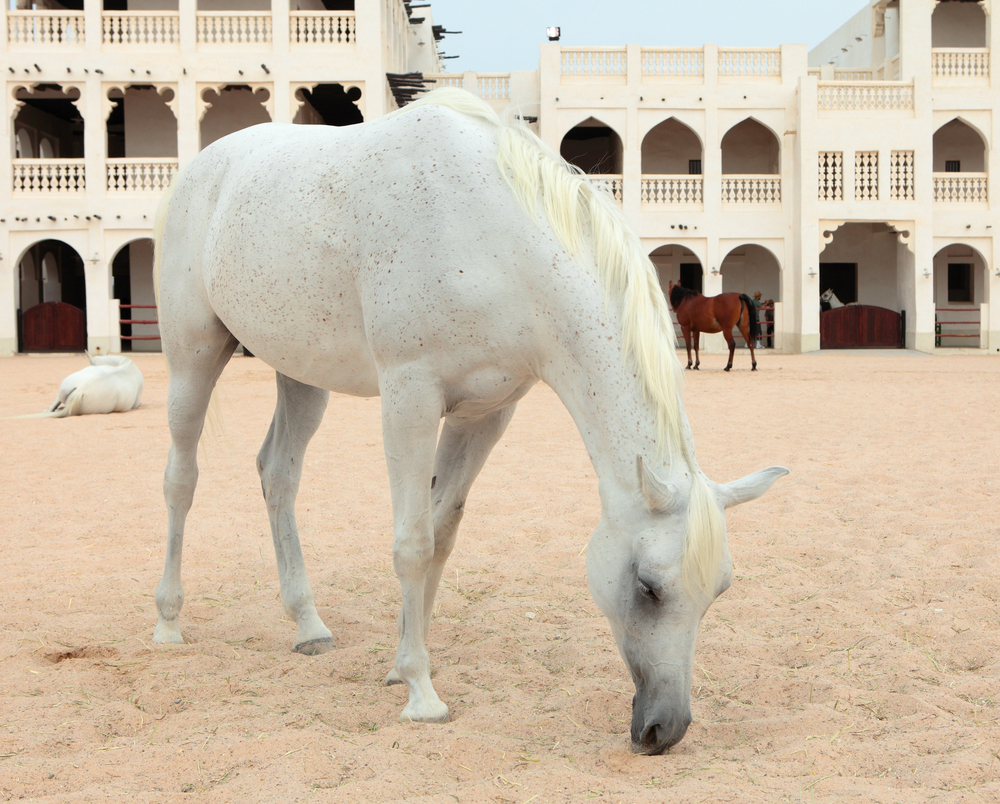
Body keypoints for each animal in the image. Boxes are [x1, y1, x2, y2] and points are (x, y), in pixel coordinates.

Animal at [150, 88, 788, 752]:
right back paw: (168, 621)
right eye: (647, 586)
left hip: (301, 374)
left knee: (278, 475)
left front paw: (401, 662)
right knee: (181, 479)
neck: (496, 241)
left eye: (719, 590)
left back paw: (308, 624)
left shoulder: (486, 413)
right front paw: (420, 693)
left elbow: (441, 534)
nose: (666, 728)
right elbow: (411, 541)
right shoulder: (409, 397)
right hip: (193, 359)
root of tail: (200, 170)